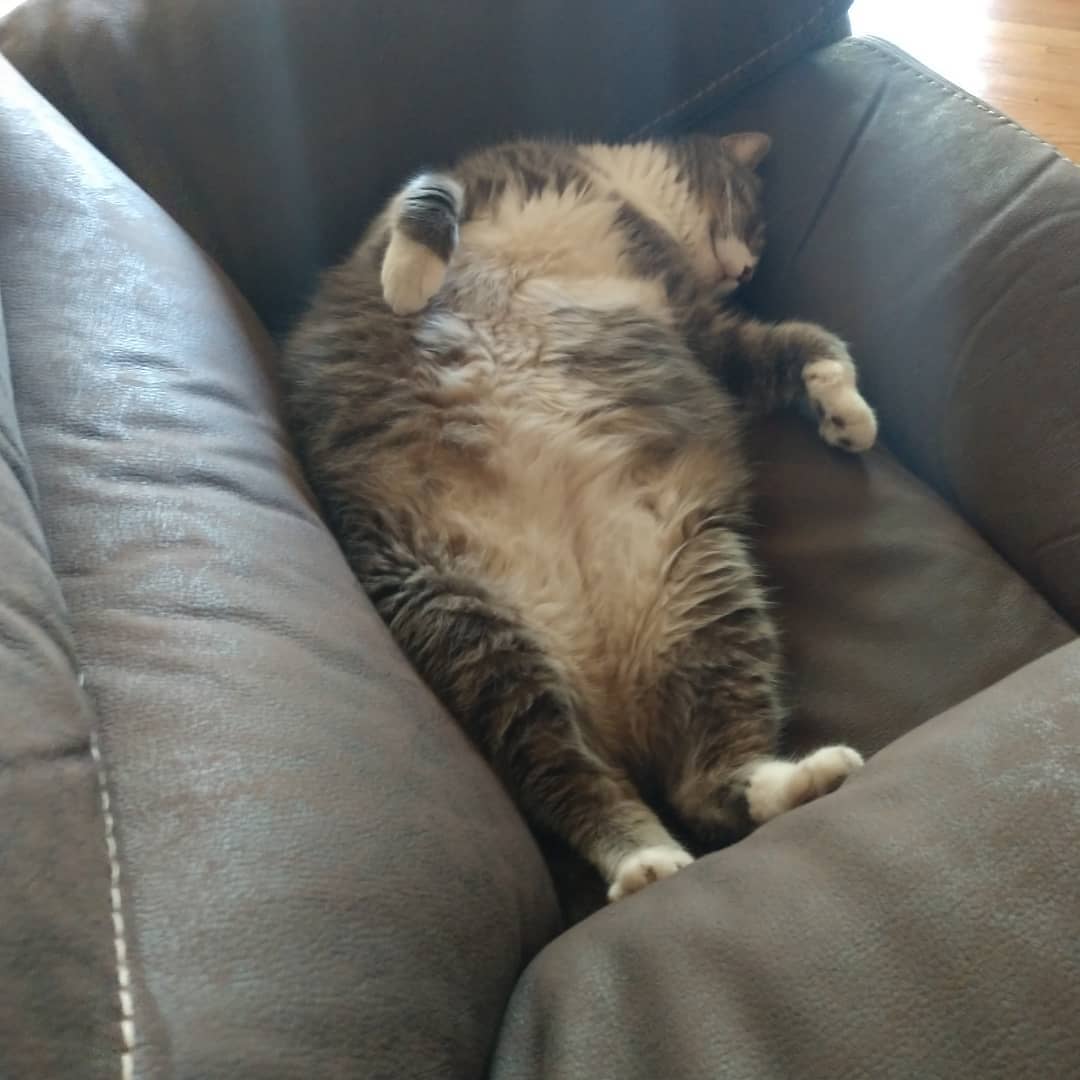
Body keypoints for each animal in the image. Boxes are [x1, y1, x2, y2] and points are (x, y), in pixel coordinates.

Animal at [280, 134, 875, 903]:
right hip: (478, 635)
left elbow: (807, 344)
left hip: (702, 594)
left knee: (700, 789)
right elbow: (426, 196)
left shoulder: (702, 330)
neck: (624, 190)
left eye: (761, 240)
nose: (746, 268)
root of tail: (611, 698)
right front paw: (408, 277)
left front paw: (848, 415)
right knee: (569, 776)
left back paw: (796, 782)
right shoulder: (474, 179)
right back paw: (644, 859)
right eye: (753, 215)